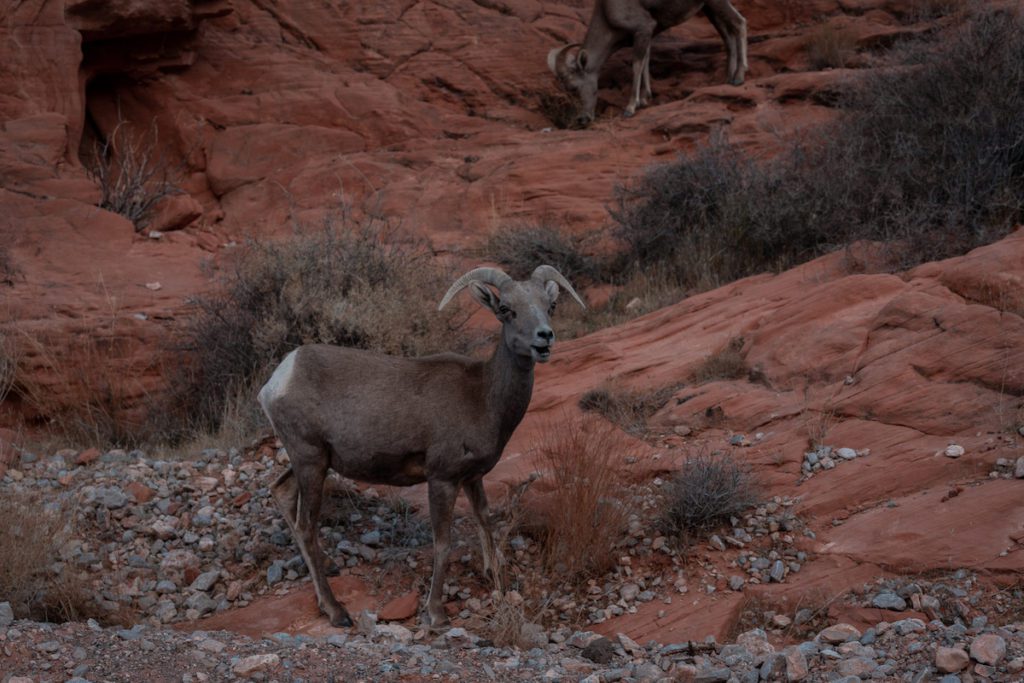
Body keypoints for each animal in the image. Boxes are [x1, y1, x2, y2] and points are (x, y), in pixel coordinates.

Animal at [257, 264, 585, 628]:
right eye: (505, 309)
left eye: (549, 306)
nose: (544, 337)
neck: (483, 397)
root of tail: (279, 378)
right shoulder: (442, 479)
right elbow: (443, 543)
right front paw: (436, 613)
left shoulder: (472, 478)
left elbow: (485, 520)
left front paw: (497, 580)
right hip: (311, 461)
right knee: (305, 527)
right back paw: (336, 611)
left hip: (314, 462)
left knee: (281, 492)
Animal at [548, 0, 748, 126]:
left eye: (573, 87)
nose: (582, 120)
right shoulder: (647, 34)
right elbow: (645, 61)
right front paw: (644, 99)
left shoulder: (643, 29)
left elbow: (637, 65)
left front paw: (630, 108)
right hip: (709, 9)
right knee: (727, 35)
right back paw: (728, 78)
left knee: (739, 22)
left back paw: (739, 77)